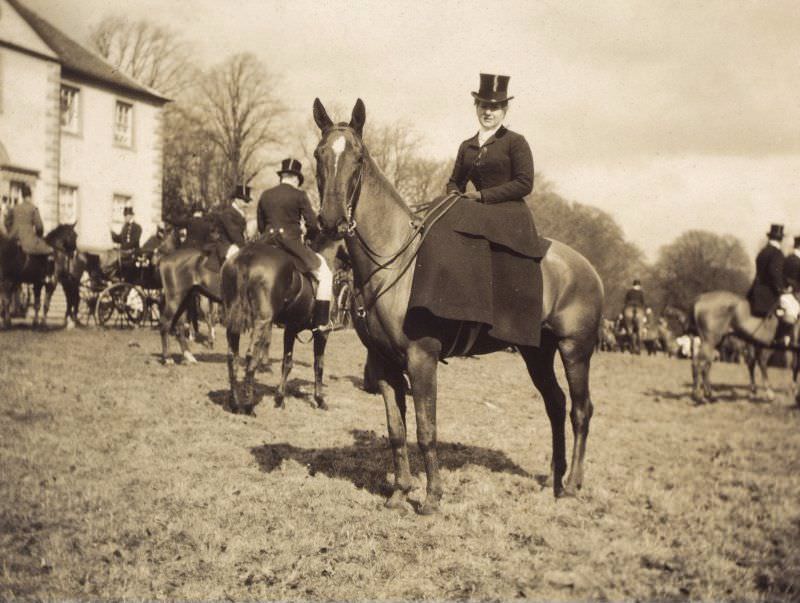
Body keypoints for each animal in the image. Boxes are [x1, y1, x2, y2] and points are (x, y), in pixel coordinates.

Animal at [310, 99, 604, 516]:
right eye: (319, 154)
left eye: (359, 157)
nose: (331, 221)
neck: (396, 259)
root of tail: (588, 268)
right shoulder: (384, 364)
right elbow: (396, 431)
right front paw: (400, 492)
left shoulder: (422, 360)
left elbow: (425, 430)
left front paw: (432, 497)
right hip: (537, 353)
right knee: (556, 404)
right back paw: (555, 479)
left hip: (575, 350)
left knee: (580, 410)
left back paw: (574, 484)